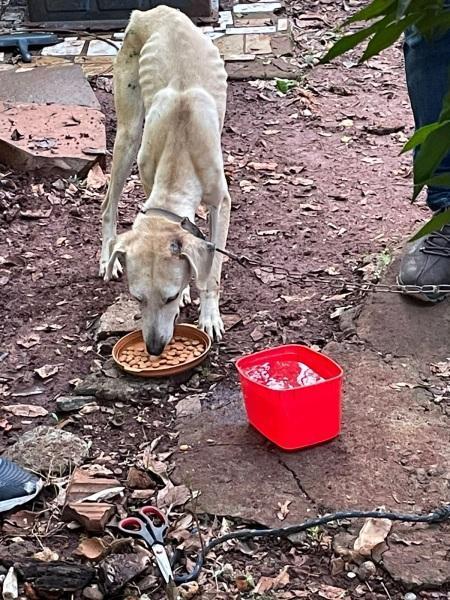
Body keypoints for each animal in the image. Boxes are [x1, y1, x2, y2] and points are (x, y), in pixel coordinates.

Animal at [100, 7, 230, 356]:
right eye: (137, 298)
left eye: (169, 297)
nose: (155, 349)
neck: (180, 139)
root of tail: (149, 12)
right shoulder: (149, 180)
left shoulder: (222, 203)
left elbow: (212, 270)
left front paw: (208, 314)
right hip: (128, 135)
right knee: (107, 205)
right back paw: (106, 258)